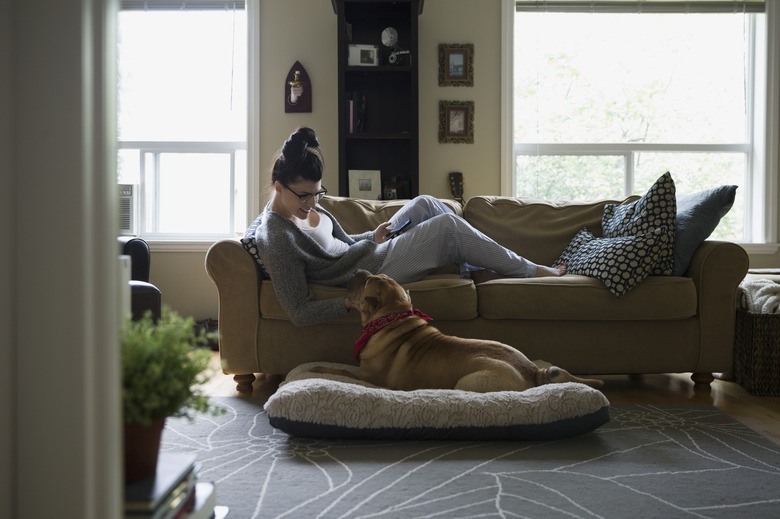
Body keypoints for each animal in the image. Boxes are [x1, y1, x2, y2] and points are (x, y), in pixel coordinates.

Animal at [314, 268, 608, 394]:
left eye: (366, 283)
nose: (358, 271)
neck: (392, 317)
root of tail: (533, 371)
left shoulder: (370, 379)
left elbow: (342, 371)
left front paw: (319, 369)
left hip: (467, 382)